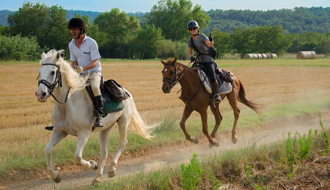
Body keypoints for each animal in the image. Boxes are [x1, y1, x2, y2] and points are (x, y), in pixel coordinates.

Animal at [35, 49, 157, 186]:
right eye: (39, 72)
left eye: (52, 72)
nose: (40, 94)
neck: (67, 104)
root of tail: (127, 93)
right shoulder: (59, 131)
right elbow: (47, 149)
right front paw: (55, 176)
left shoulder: (84, 133)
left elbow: (77, 157)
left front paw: (92, 164)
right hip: (105, 129)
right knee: (104, 152)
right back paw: (97, 178)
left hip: (123, 122)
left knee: (122, 143)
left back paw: (111, 170)